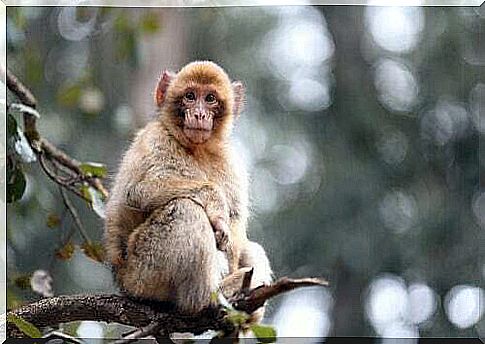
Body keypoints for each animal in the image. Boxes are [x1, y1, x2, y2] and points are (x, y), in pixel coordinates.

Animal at [104, 61, 272, 318]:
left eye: (210, 98)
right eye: (190, 96)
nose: (199, 114)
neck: (198, 150)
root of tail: (123, 281)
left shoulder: (231, 161)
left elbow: (236, 222)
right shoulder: (156, 138)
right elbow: (137, 192)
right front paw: (216, 207)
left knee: (251, 248)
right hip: (143, 272)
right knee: (186, 208)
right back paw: (208, 297)